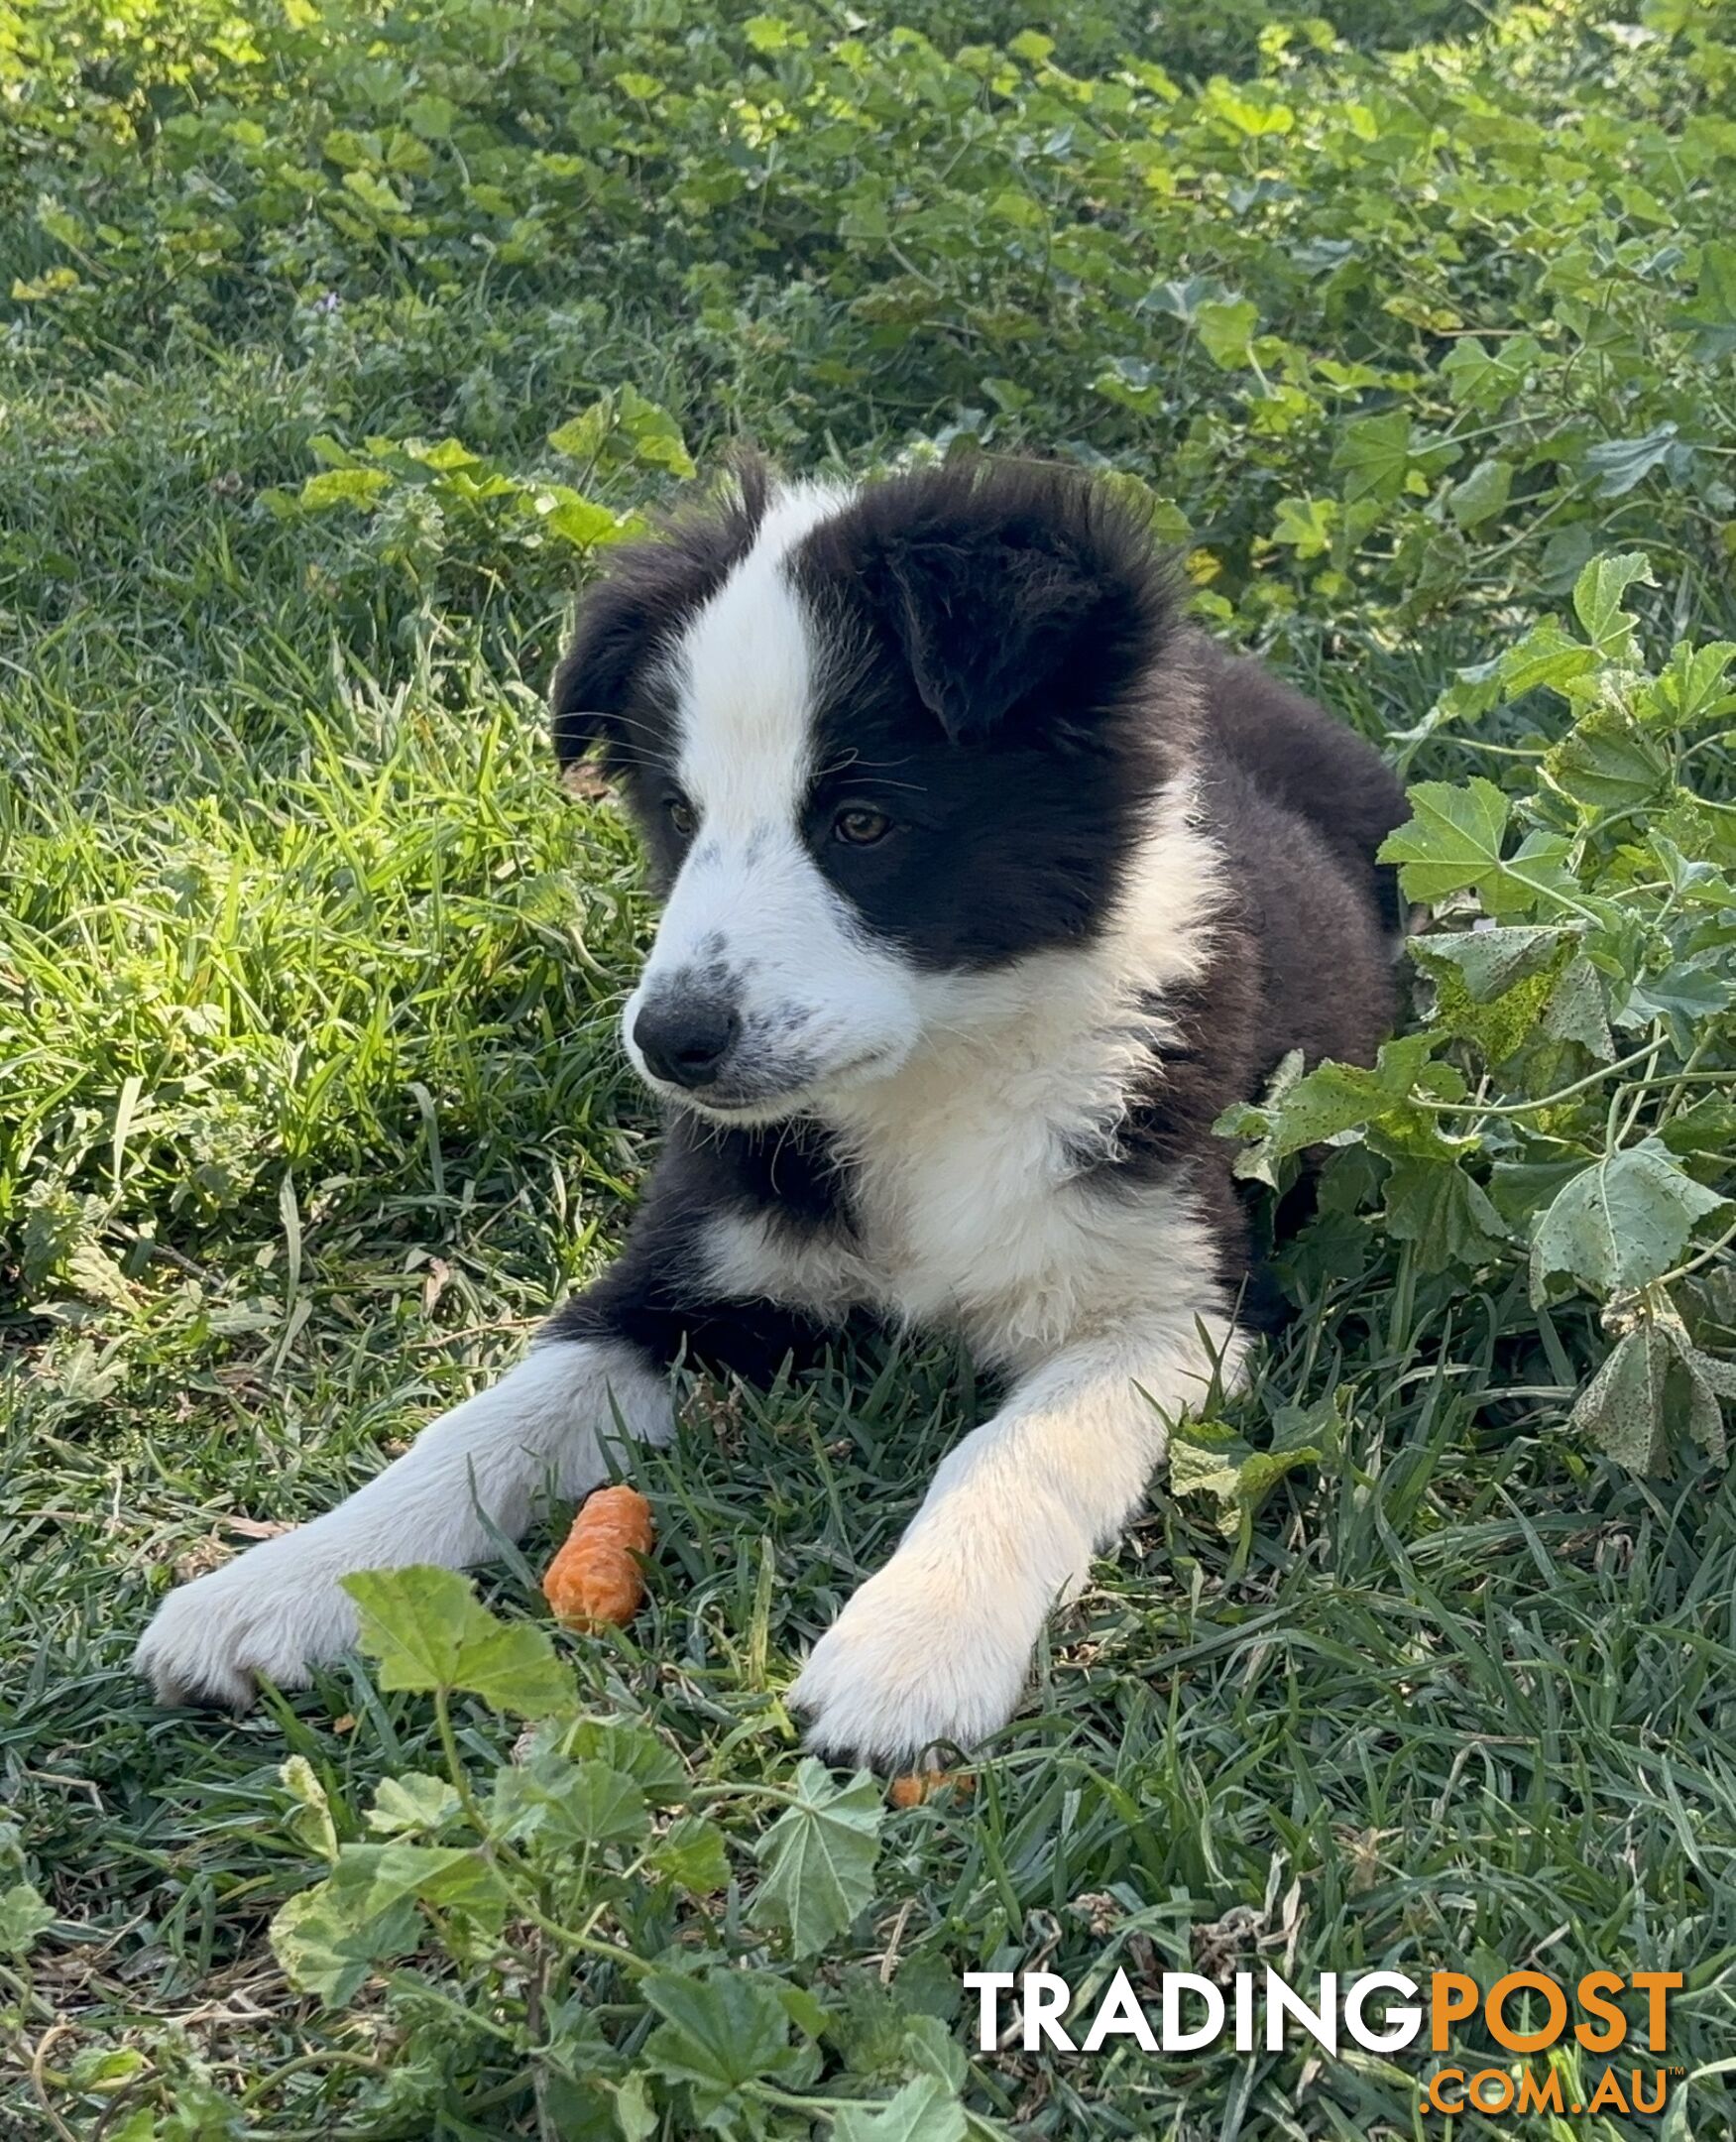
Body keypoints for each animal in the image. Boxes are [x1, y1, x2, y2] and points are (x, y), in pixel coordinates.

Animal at [139, 460, 1412, 1764]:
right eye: (676, 815)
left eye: (861, 822)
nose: (671, 1043)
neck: (933, 1076)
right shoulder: (680, 1275)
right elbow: (483, 1428)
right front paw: (292, 1581)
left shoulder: (1172, 1306)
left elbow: (1019, 1449)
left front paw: (912, 1650)